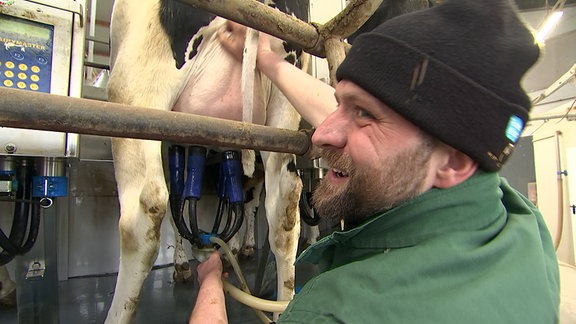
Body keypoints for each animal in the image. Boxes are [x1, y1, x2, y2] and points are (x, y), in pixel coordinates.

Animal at [104, 0, 310, 322]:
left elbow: (175, 206)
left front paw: (181, 265)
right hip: (282, 115)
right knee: (283, 211)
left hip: (135, 93)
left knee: (143, 213)